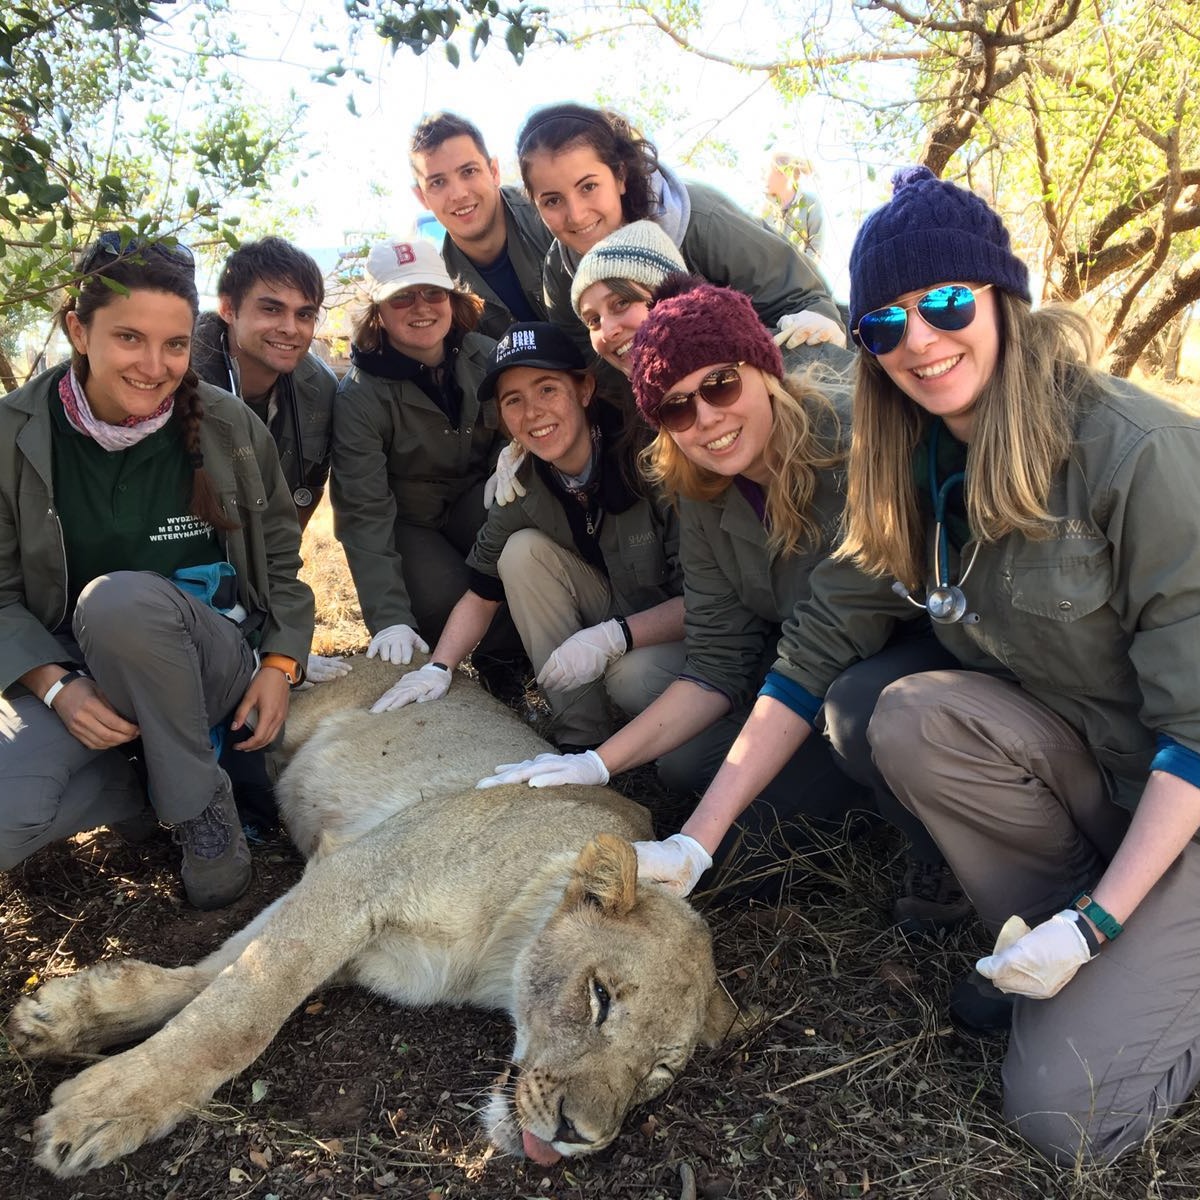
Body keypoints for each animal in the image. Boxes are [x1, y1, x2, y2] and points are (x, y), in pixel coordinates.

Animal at [8, 655, 738, 1179]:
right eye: (599, 997)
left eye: (658, 1074)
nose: (575, 1136)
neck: (494, 959)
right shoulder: (357, 875)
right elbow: (238, 1015)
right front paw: (101, 1111)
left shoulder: (351, 925)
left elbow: (217, 976)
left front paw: (66, 1018)